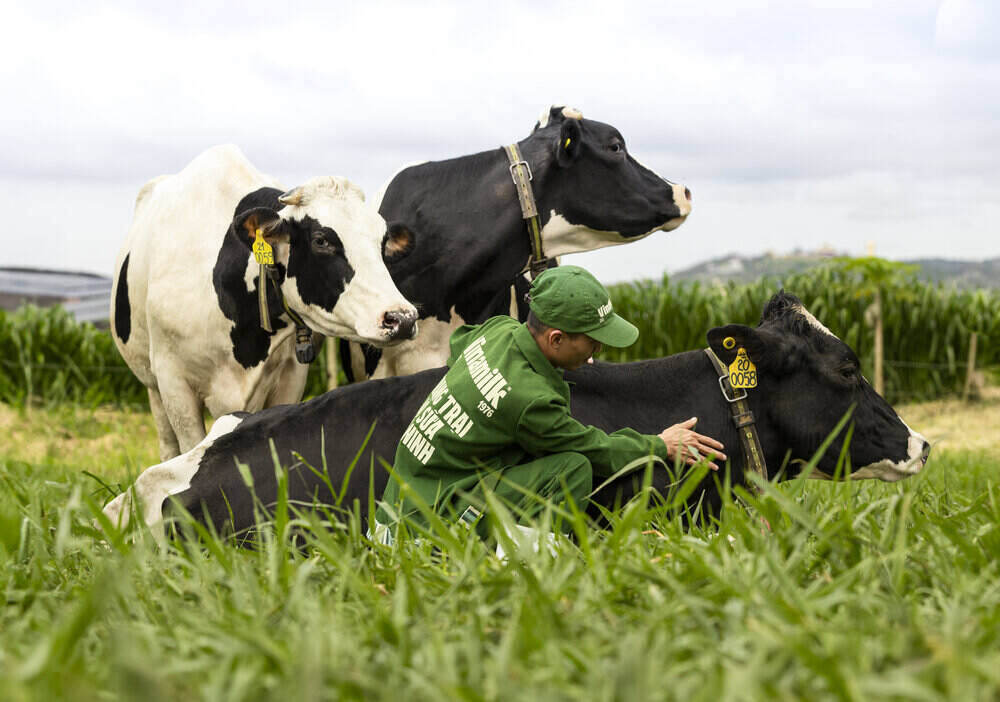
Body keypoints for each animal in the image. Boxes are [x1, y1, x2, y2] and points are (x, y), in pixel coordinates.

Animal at [111, 144, 416, 462]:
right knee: (167, 444)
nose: (402, 318)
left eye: (382, 242)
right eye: (321, 240)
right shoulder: (174, 382)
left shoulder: (291, 376)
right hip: (152, 382)